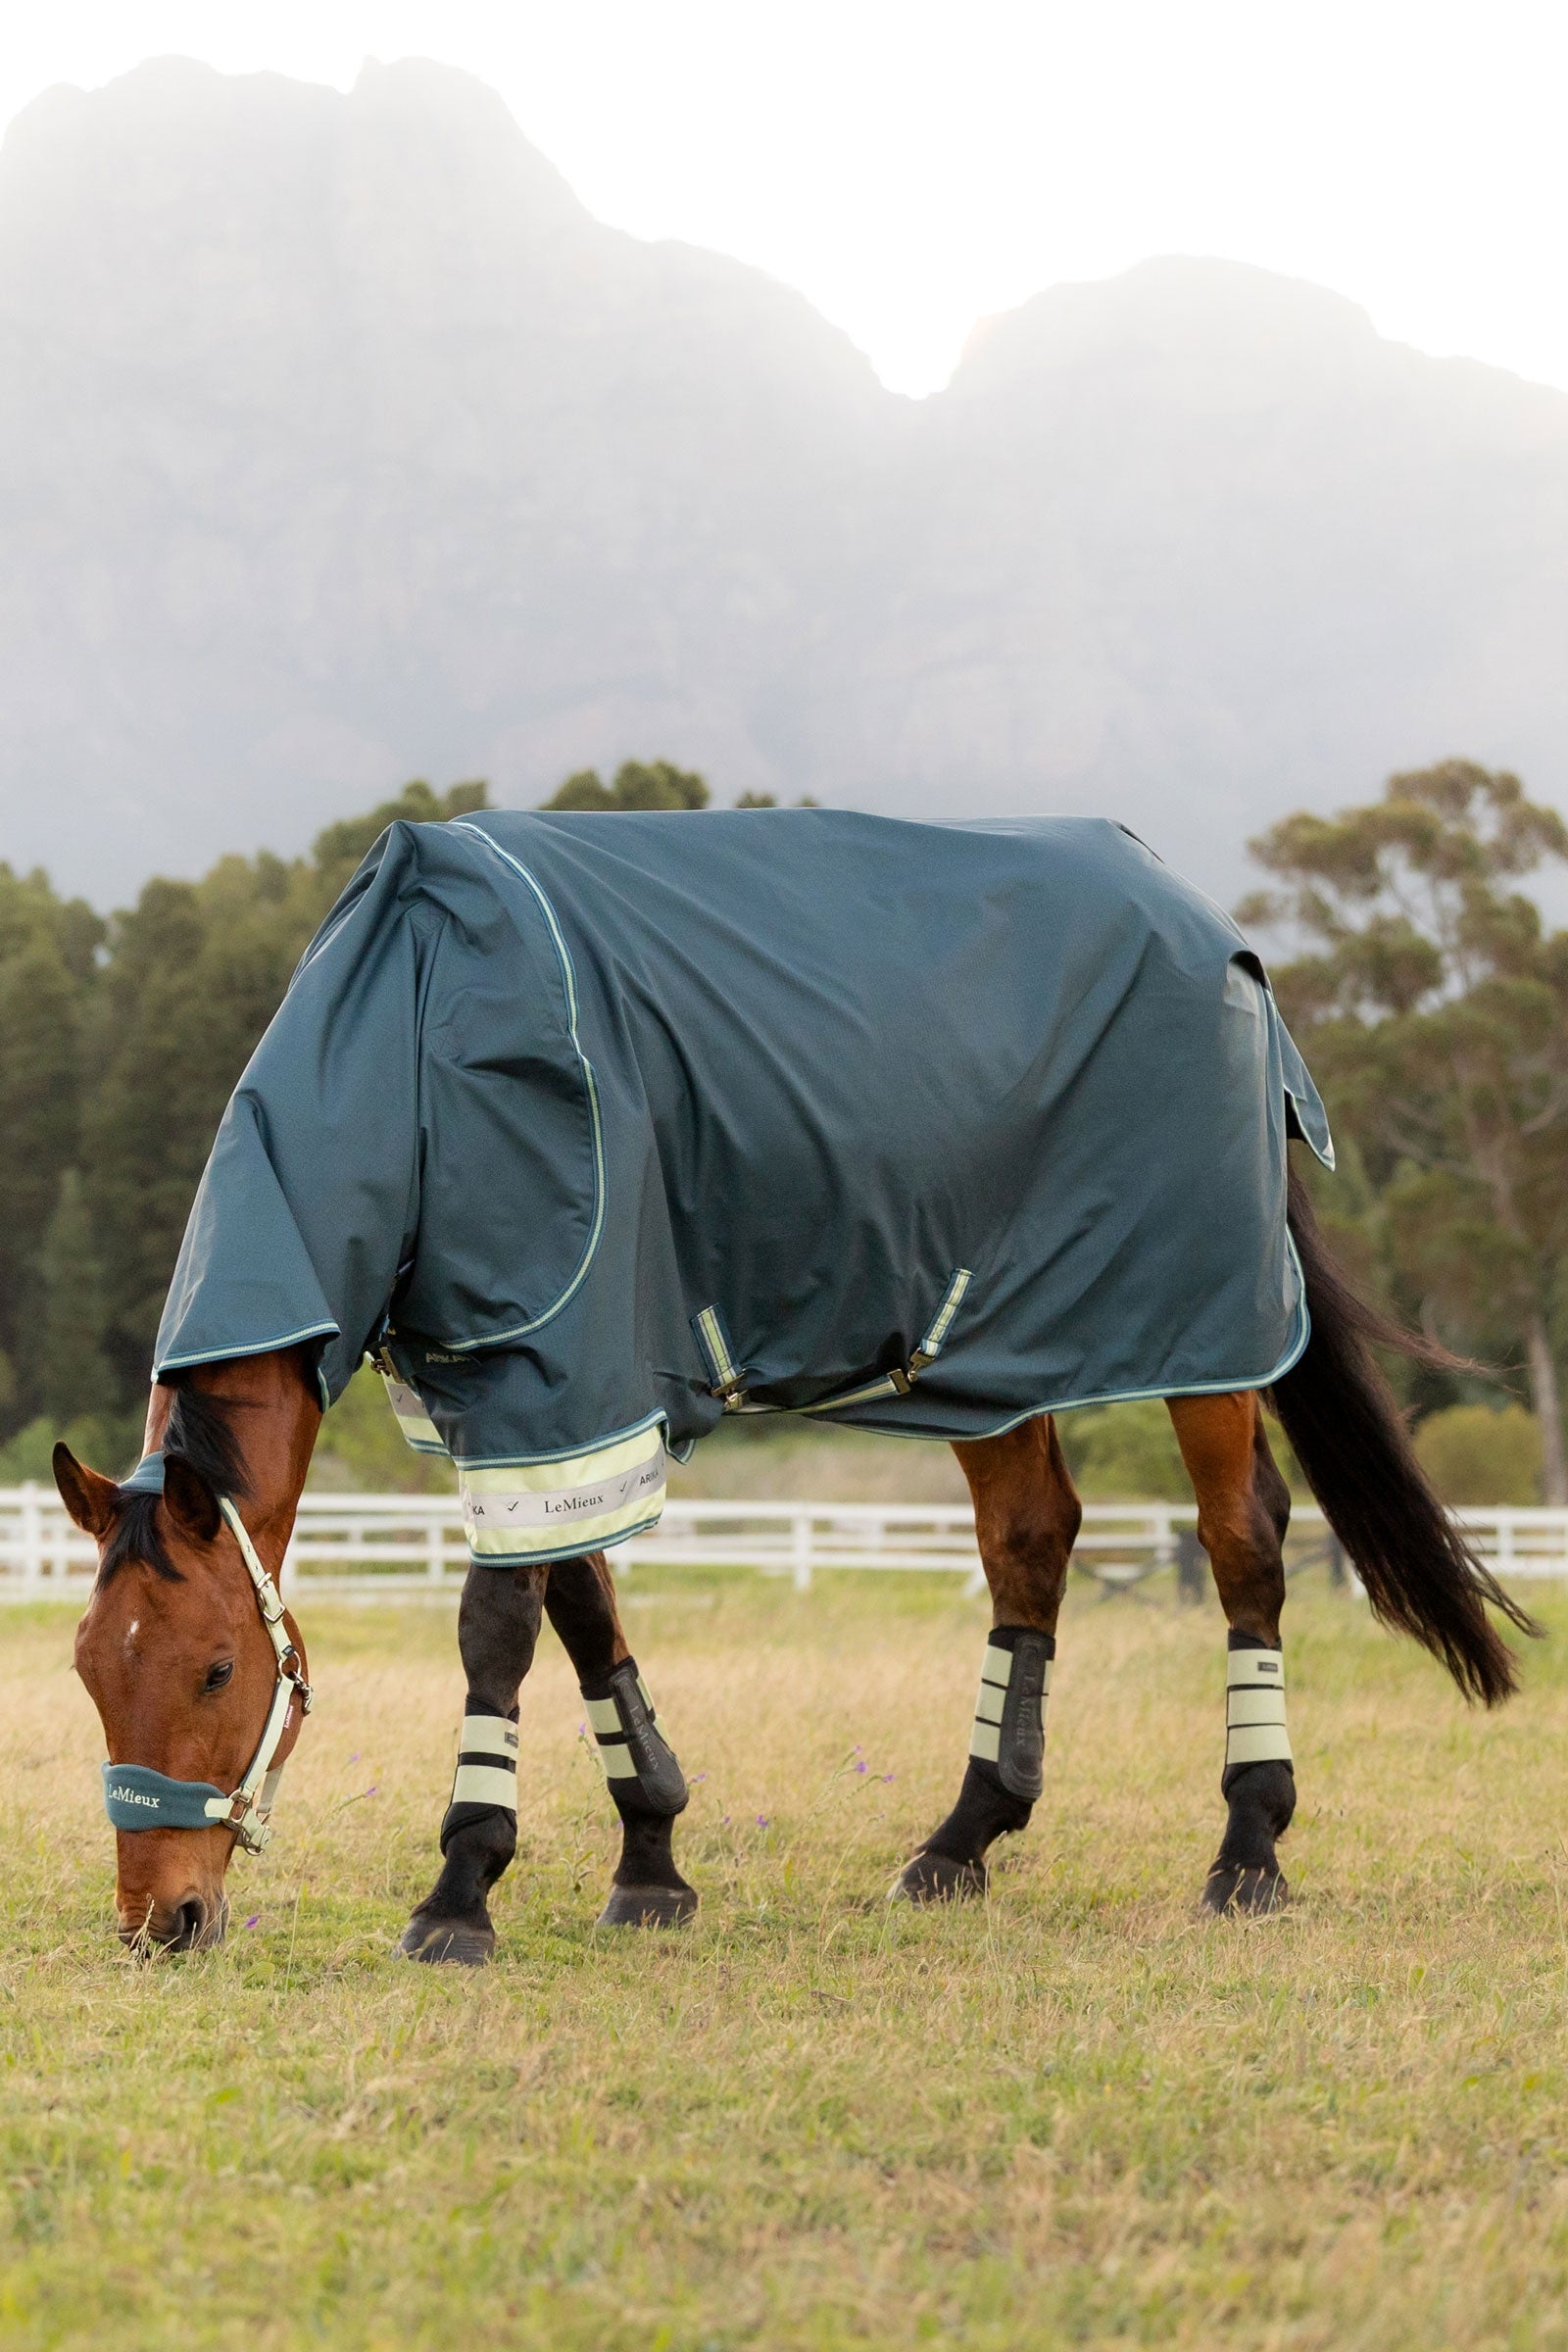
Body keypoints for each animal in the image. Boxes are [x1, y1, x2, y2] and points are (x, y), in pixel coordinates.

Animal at [56, 809, 1534, 1956]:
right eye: (84, 1668)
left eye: (213, 1670)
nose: (160, 1922)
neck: (419, 1034)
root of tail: (1217, 933)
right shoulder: (528, 1396)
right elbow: (583, 1607)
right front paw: (650, 1863)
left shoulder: (560, 1370)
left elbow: (498, 1630)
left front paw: (462, 1889)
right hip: (993, 1349)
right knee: (1032, 1537)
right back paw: (961, 1840)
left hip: (1202, 1335)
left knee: (1243, 1545)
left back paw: (1247, 1852)